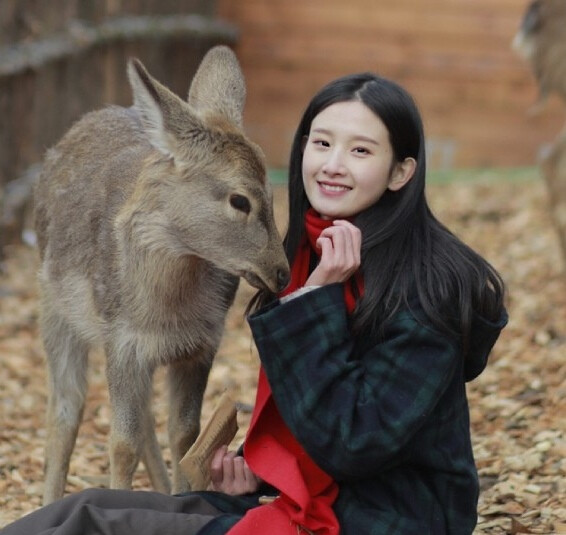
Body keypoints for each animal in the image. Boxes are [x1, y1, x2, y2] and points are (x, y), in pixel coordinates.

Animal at [34, 47, 292, 506]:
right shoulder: (120, 340)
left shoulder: (201, 344)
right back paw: (48, 501)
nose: (280, 271)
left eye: (272, 191)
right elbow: (121, 442)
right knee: (66, 406)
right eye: (239, 200)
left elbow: (184, 433)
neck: (166, 314)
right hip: (54, 311)